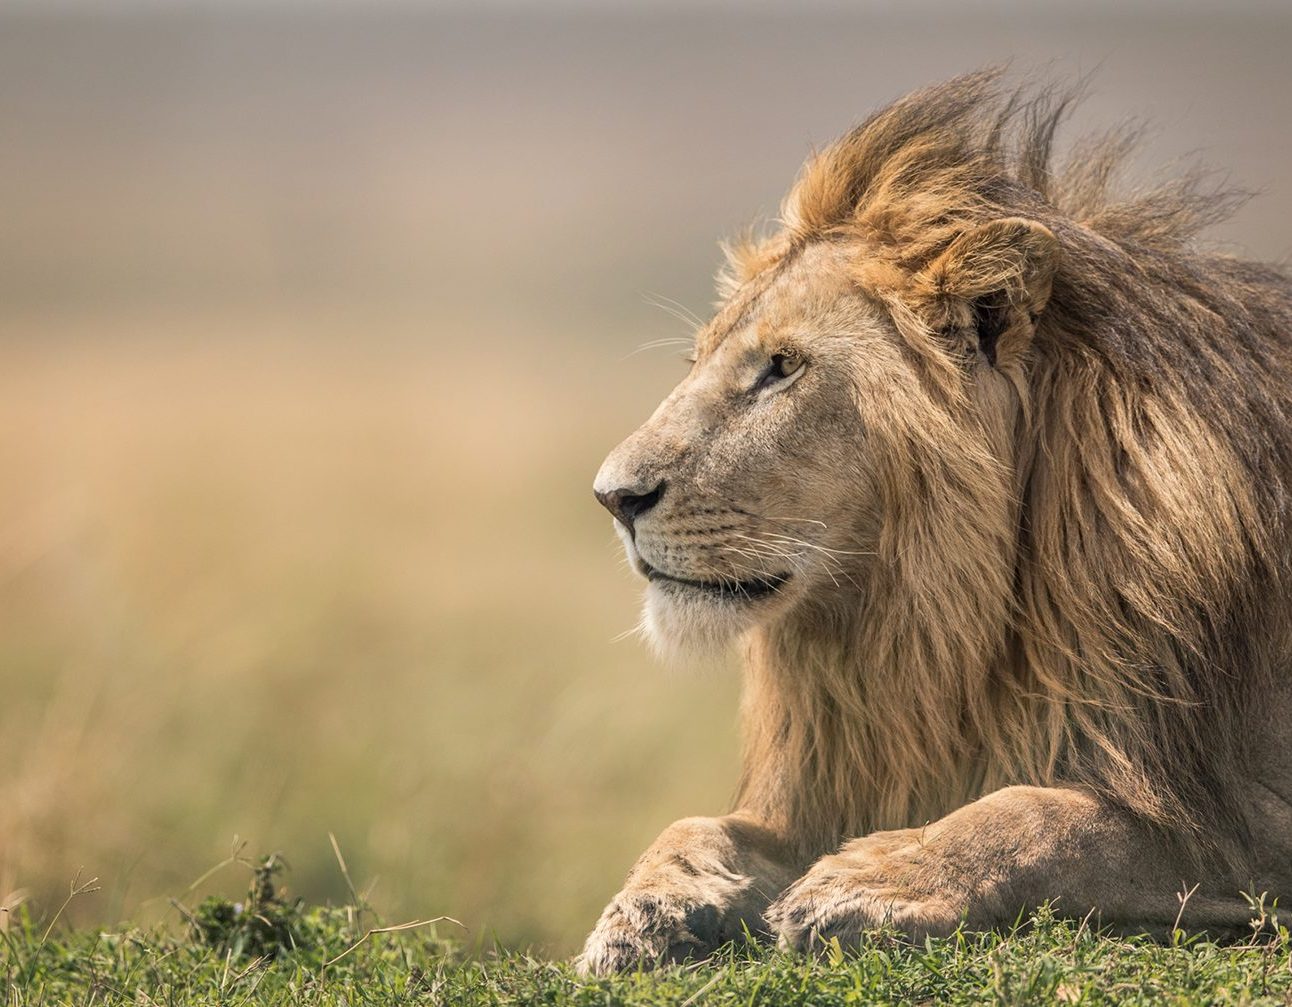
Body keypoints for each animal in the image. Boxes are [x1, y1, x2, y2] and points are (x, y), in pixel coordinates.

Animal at [578, 70, 1292, 975]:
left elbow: (1052, 814)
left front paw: (872, 878)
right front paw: (646, 907)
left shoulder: (1228, 814)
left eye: (783, 367)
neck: (932, 626)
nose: (612, 496)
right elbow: (696, 822)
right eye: (702, 360)